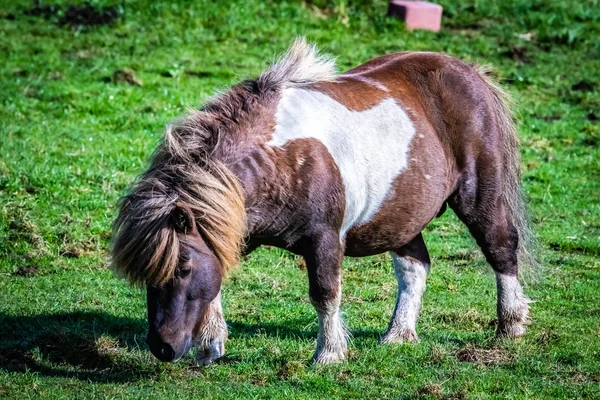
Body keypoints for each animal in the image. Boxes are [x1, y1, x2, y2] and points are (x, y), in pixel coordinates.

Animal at [112, 38, 536, 366]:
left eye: (183, 268)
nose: (162, 348)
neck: (278, 156)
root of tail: (469, 72)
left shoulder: (324, 239)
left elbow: (324, 294)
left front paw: (328, 355)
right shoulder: (234, 229)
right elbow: (216, 279)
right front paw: (210, 346)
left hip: (479, 196)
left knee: (501, 247)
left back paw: (511, 325)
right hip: (401, 215)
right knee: (415, 268)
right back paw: (398, 335)